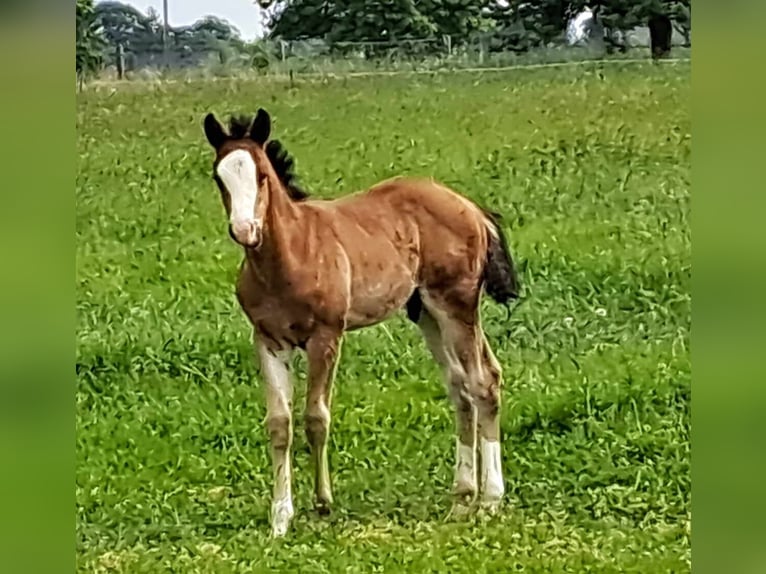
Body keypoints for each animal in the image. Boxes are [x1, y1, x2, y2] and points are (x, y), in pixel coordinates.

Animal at [202, 109, 520, 540]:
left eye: (263, 175)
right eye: (219, 177)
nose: (244, 230)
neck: (291, 255)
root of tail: (471, 207)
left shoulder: (326, 336)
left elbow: (315, 417)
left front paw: (322, 504)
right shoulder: (268, 340)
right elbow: (280, 424)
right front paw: (280, 519)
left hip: (456, 304)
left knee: (483, 380)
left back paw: (489, 500)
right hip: (425, 311)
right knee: (460, 386)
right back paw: (461, 497)